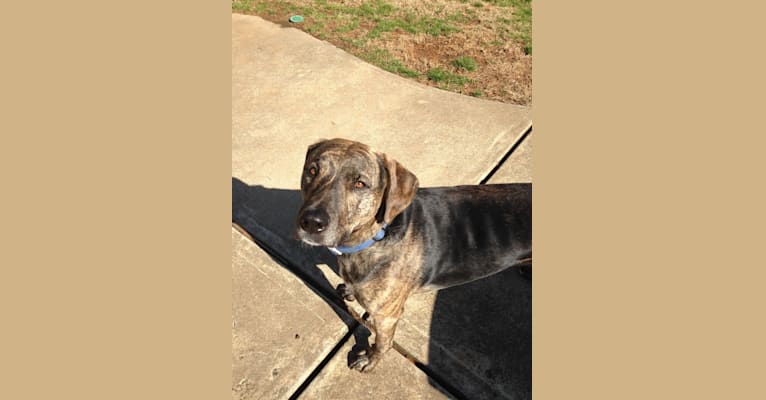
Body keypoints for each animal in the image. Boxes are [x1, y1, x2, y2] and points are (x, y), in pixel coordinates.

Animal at [296, 139, 536, 374]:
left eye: (360, 184)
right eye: (312, 170)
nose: (312, 222)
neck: (375, 236)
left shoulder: (386, 317)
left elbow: (383, 343)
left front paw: (371, 360)